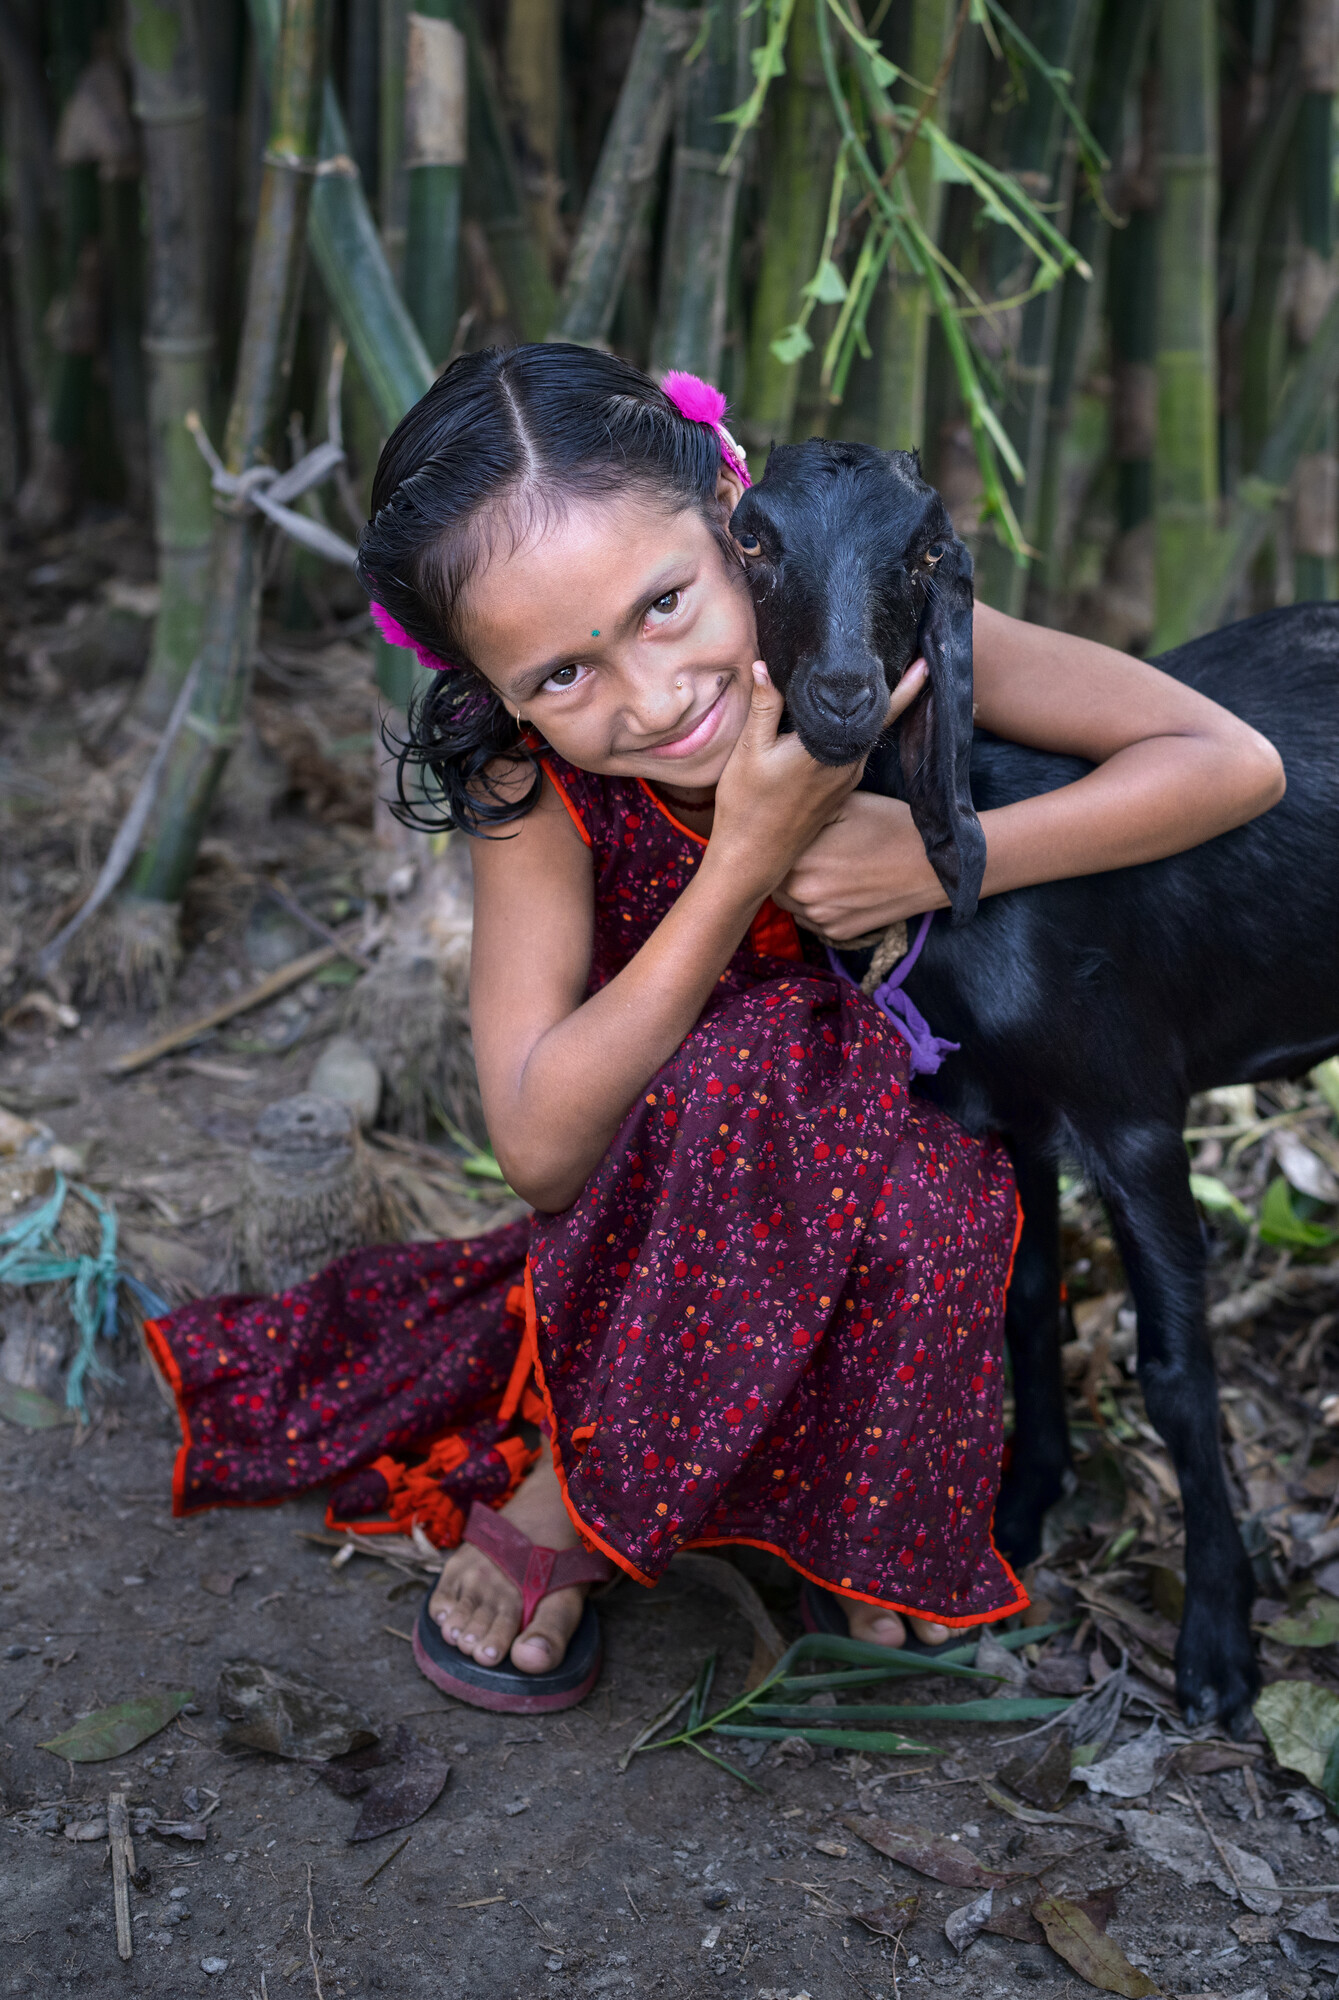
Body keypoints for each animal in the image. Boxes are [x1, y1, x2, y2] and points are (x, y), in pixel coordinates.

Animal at [735, 442, 1339, 1736]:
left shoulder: (1132, 1107)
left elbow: (1174, 1369)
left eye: (925, 549)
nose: (844, 694)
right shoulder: (1003, 1108)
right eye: (752, 537)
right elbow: (1023, 1298)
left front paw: (1219, 1647)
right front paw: (1014, 1514)